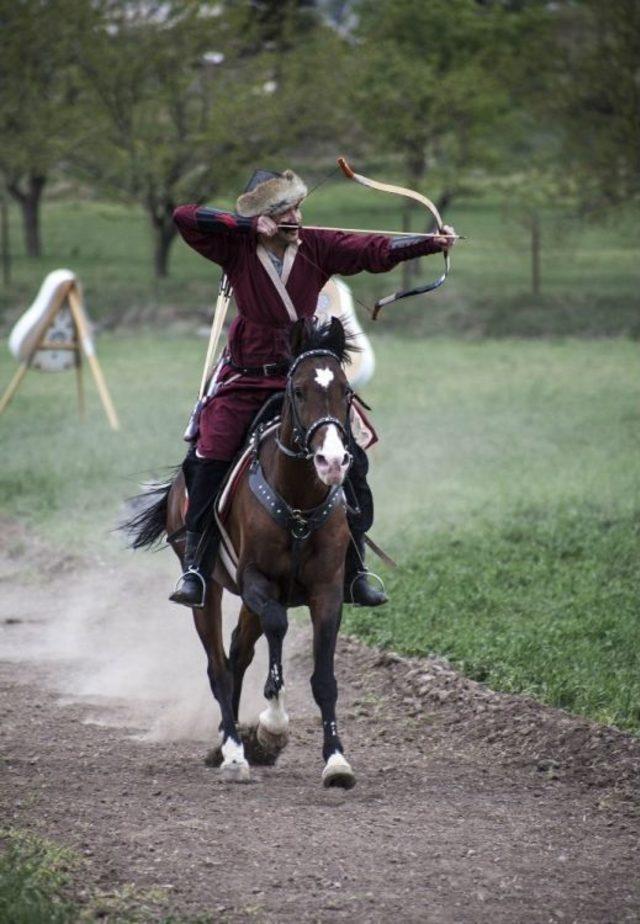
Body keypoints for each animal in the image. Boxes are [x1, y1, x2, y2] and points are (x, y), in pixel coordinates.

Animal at [129, 318, 360, 788]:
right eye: (298, 391)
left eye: (345, 391)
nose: (332, 461)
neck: (298, 502)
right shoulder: (258, 582)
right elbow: (276, 627)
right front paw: (272, 724)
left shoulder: (327, 591)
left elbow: (325, 678)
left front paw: (336, 760)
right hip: (207, 592)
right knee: (219, 664)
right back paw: (235, 751)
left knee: (237, 653)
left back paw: (229, 739)